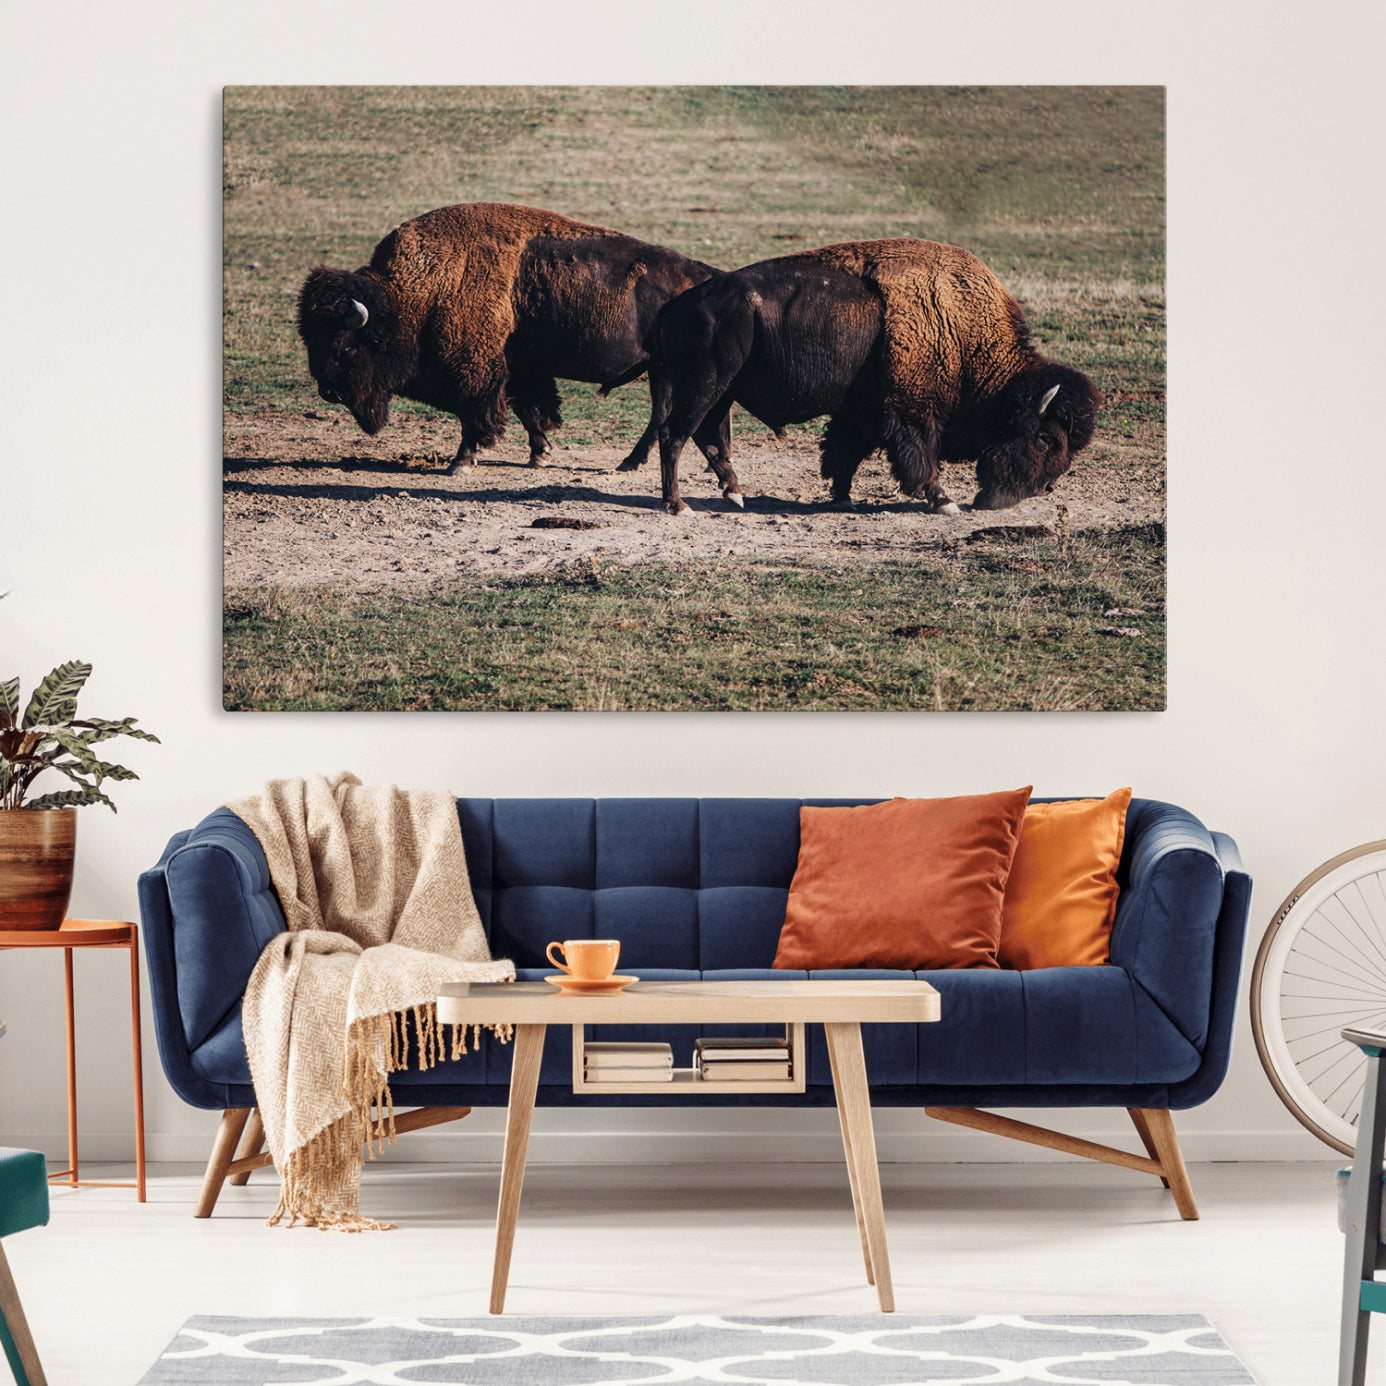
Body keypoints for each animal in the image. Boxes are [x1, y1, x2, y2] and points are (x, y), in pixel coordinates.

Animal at [297, 202, 728, 472]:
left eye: (346, 346)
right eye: (310, 340)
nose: (329, 392)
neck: (417, 293)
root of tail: (707, 275)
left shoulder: (476, 372)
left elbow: (475, 415)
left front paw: (460, 463)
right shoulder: (519, 368)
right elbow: (528, 409)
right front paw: (540, 454)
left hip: (666, 369)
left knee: (663, 413)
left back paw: (632, 463)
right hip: (660, 369)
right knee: (663, 412)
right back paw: (634, 462)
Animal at [650, 238, 1101, 515]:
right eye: (1045, 439)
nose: (1038, 490)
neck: (961, 330)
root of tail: (678, 304)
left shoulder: (861, 412)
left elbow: (843, 453)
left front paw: (842, 498)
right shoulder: (910, 414)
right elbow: (920, 459)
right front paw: (945, 501)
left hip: (722, 391)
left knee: (707, 437)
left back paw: (735, 494)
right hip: (704, 387)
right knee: (674, 436)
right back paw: (679, 506)